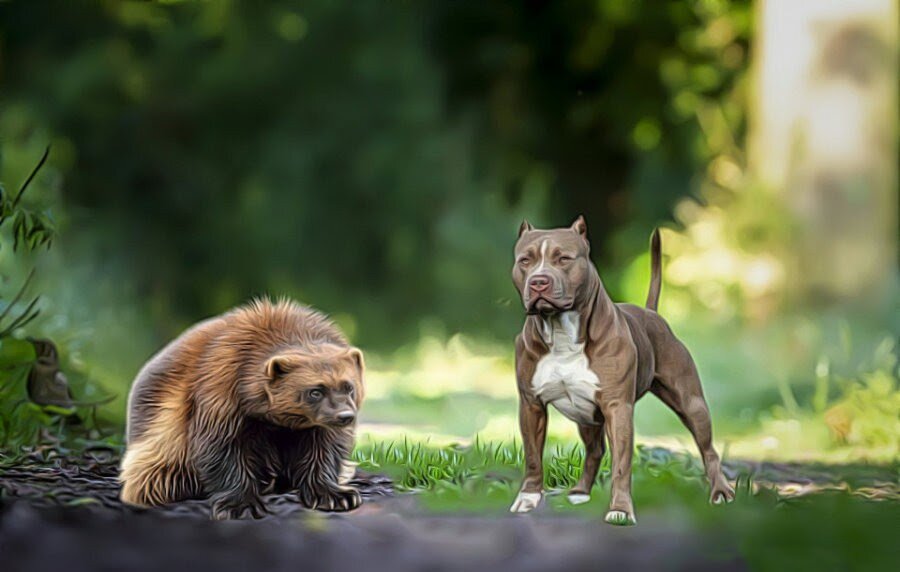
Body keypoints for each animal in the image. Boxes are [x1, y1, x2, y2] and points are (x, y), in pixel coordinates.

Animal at [510, 217, 736, 524]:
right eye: (525, 261)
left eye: (564, 259)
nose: (539, 282)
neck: (561, 334)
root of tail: (652, 314)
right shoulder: (531, 405)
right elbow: (533, 457)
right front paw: (528, 499)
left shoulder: (618, 408)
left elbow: (621, 464)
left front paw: (620, 509)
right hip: (586, 416)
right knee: (595, 450)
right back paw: (580, 492)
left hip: (692, 404)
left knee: (708, 449)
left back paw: (721, 492)